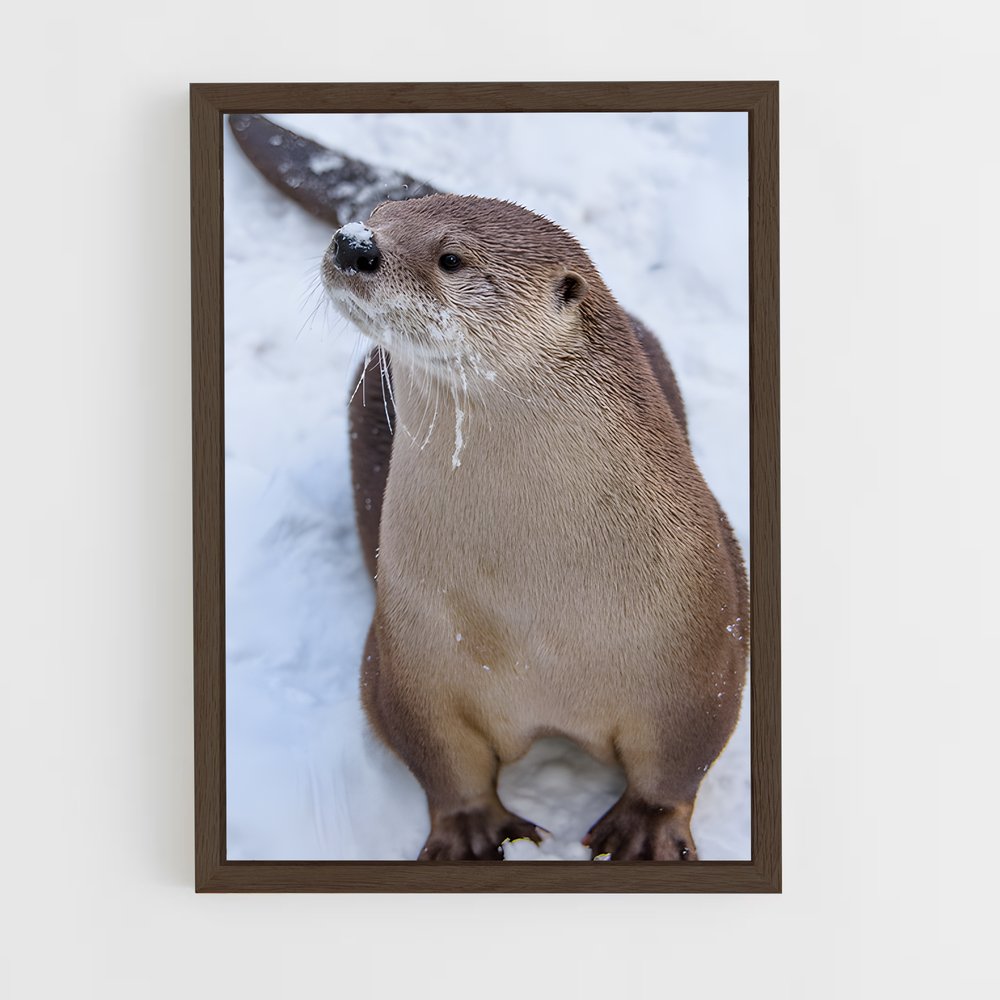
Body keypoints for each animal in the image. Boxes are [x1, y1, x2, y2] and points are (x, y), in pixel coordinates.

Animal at [321, 195, 748, 861]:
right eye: (379, 212)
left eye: (451, 258)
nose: (354, 242)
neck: (532, 616)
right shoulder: (408, 659)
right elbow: (440, 757)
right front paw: (470, 831)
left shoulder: (703, 652)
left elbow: (681, 759)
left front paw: (646, 832)